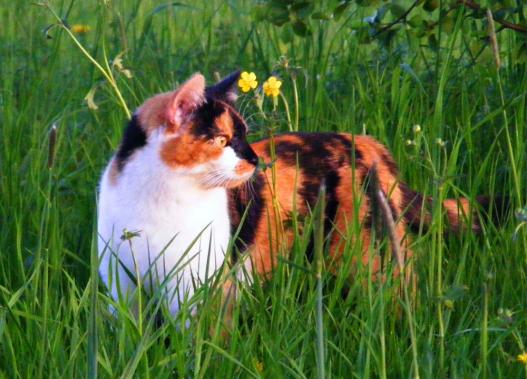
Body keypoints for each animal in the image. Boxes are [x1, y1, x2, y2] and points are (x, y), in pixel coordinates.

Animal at [99, 71, 496, 318]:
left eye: (244, 135)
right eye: (223, 140)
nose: (255, 159)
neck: (161, 198)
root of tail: (369, 145)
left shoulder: (198, 287)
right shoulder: (122, 285)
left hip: (371, 255)